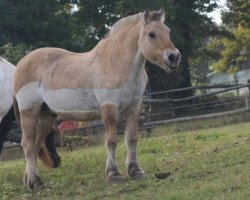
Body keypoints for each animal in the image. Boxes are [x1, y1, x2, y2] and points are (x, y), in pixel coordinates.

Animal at [12, 9, 180, 191]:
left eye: (168, 32)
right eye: (151, 34)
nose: (174, 57)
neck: (117, 63)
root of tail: (20, 65)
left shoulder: (134, 108)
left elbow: (132, 139)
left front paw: (135, 171)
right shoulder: (109, 108)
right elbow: (111, 141)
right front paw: (114, 174)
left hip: (46, 116)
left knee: (35, 145)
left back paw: (29, 180)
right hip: (29, 113)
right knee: (28, 146)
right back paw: (37, 183)